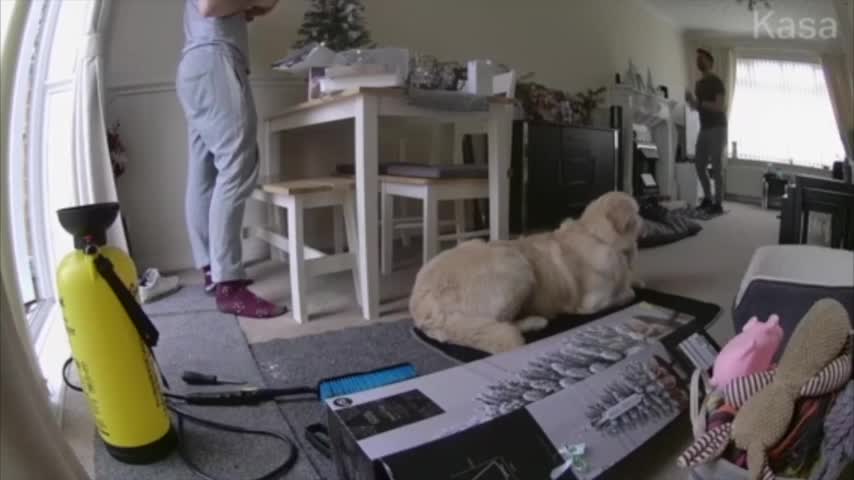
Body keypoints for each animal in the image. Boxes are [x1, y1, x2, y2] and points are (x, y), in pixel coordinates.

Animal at [412, 190, 644, 352]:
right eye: (639, 212)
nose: (647, 222)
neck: (597, 235)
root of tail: (421, 304)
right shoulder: (593, 302)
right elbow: (628, 294)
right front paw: (629, 290)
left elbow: (631, 284)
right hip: (517, 266)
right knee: (504, 326)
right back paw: (536, 322)